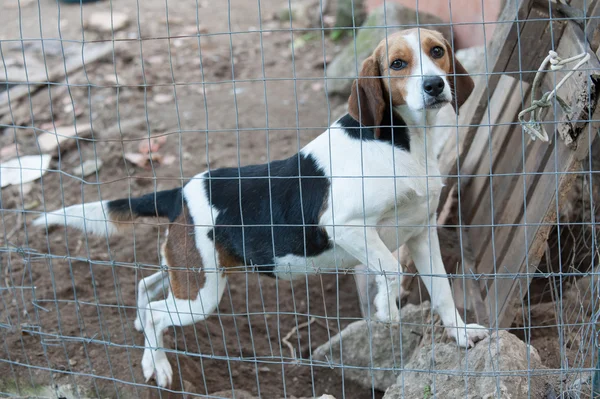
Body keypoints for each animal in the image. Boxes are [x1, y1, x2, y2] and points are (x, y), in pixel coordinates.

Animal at [32, 28, 490, 388]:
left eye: (437, 51)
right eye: (397, 63)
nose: (434, 86)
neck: (402, 141)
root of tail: (182, 191)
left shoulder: (421, 234)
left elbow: (443, 293)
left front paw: (460, 335)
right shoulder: (342, 225)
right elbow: (391, 269)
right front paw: (384, 310)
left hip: (190, 272)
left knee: (146, 292)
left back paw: (147, 353)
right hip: (202, 293)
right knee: (158, 316)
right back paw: (159, 365)